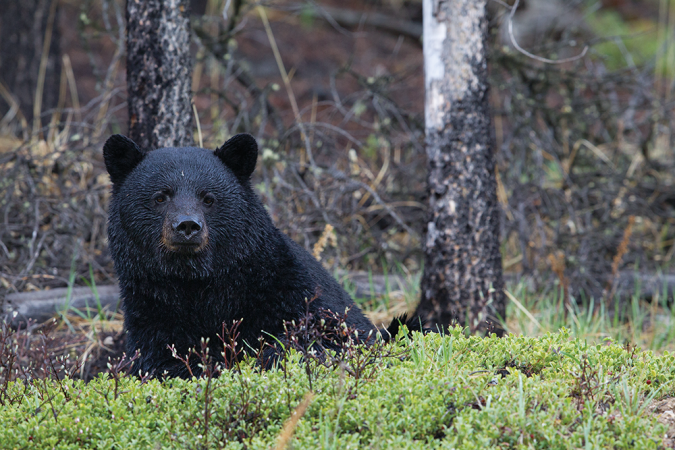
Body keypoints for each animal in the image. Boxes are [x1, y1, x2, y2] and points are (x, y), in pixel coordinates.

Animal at [103, 133, 402, 376]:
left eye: (208, 198)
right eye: (160, 197)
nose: (187, 226)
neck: (198, 286)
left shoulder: (292, 287)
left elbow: (333, 336)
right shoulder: (152, 311)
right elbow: (161, 361)